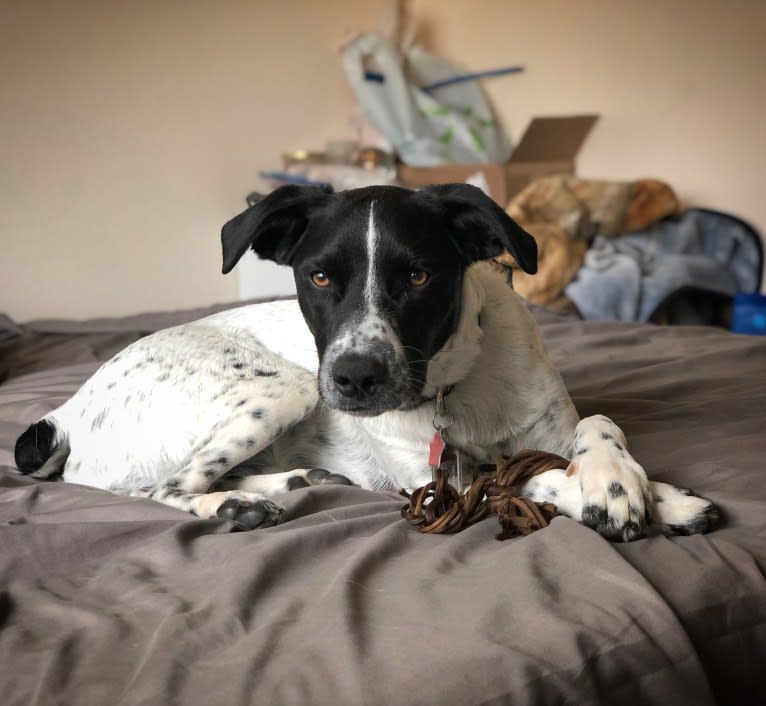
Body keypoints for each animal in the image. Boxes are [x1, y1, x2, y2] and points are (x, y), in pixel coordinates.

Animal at [13, 183, 720, 540]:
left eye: (419, 276)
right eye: (320, 276)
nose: (356, 378)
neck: (455, 388)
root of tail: (66, 410)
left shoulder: (548, 424)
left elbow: (594, 426)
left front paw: (626, 480)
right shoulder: (440, 479)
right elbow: (517, 479)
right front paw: (609, 495)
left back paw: (292, 483)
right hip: (288, 386)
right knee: (162, 488)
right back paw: (235, 508)